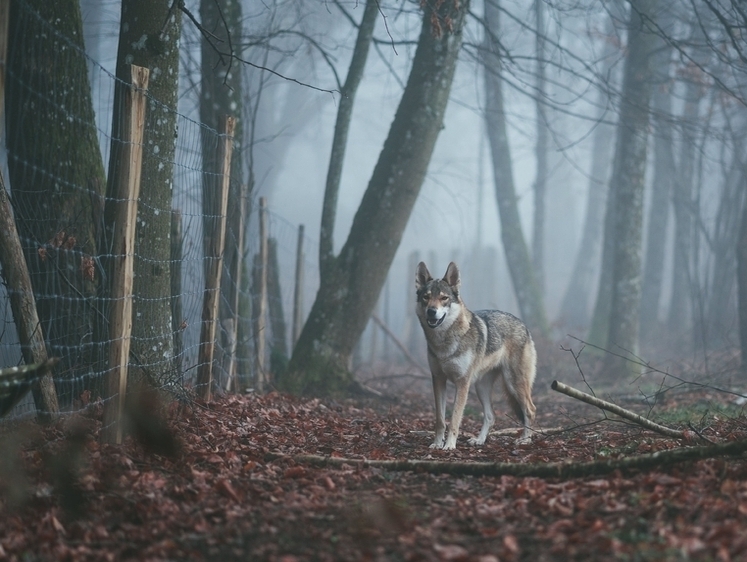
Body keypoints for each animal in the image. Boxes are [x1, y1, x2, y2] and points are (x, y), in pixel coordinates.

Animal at [414, 260, 536, 448]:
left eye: (444, 298)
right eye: (426, 297)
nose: (431, 311)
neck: (444, 343)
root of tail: (524, 325)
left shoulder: (462, 383)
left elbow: (455, 419)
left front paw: (449, 446)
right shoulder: (438, 379)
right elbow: (440, 420)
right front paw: (437, 444)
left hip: (514, 383)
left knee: (530, 410)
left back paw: (525, 439)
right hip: (481, 387)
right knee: (491, 416)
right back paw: (479, 440)